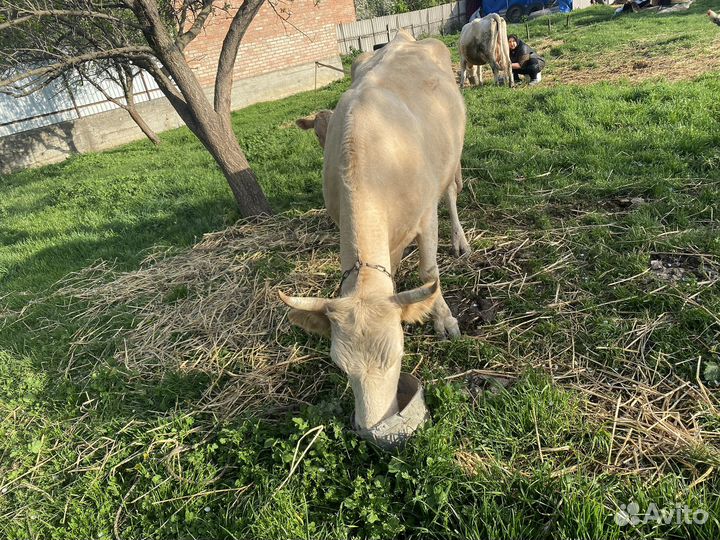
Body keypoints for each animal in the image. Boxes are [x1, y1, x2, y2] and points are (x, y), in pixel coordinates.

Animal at [281, 31, 470, 432]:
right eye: (339, 366)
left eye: (398, 353)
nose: (370, 428)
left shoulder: (424, 216)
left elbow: (428, 271)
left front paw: (444, 320)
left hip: (450, 161)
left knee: (450, 194)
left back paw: (460, 241)